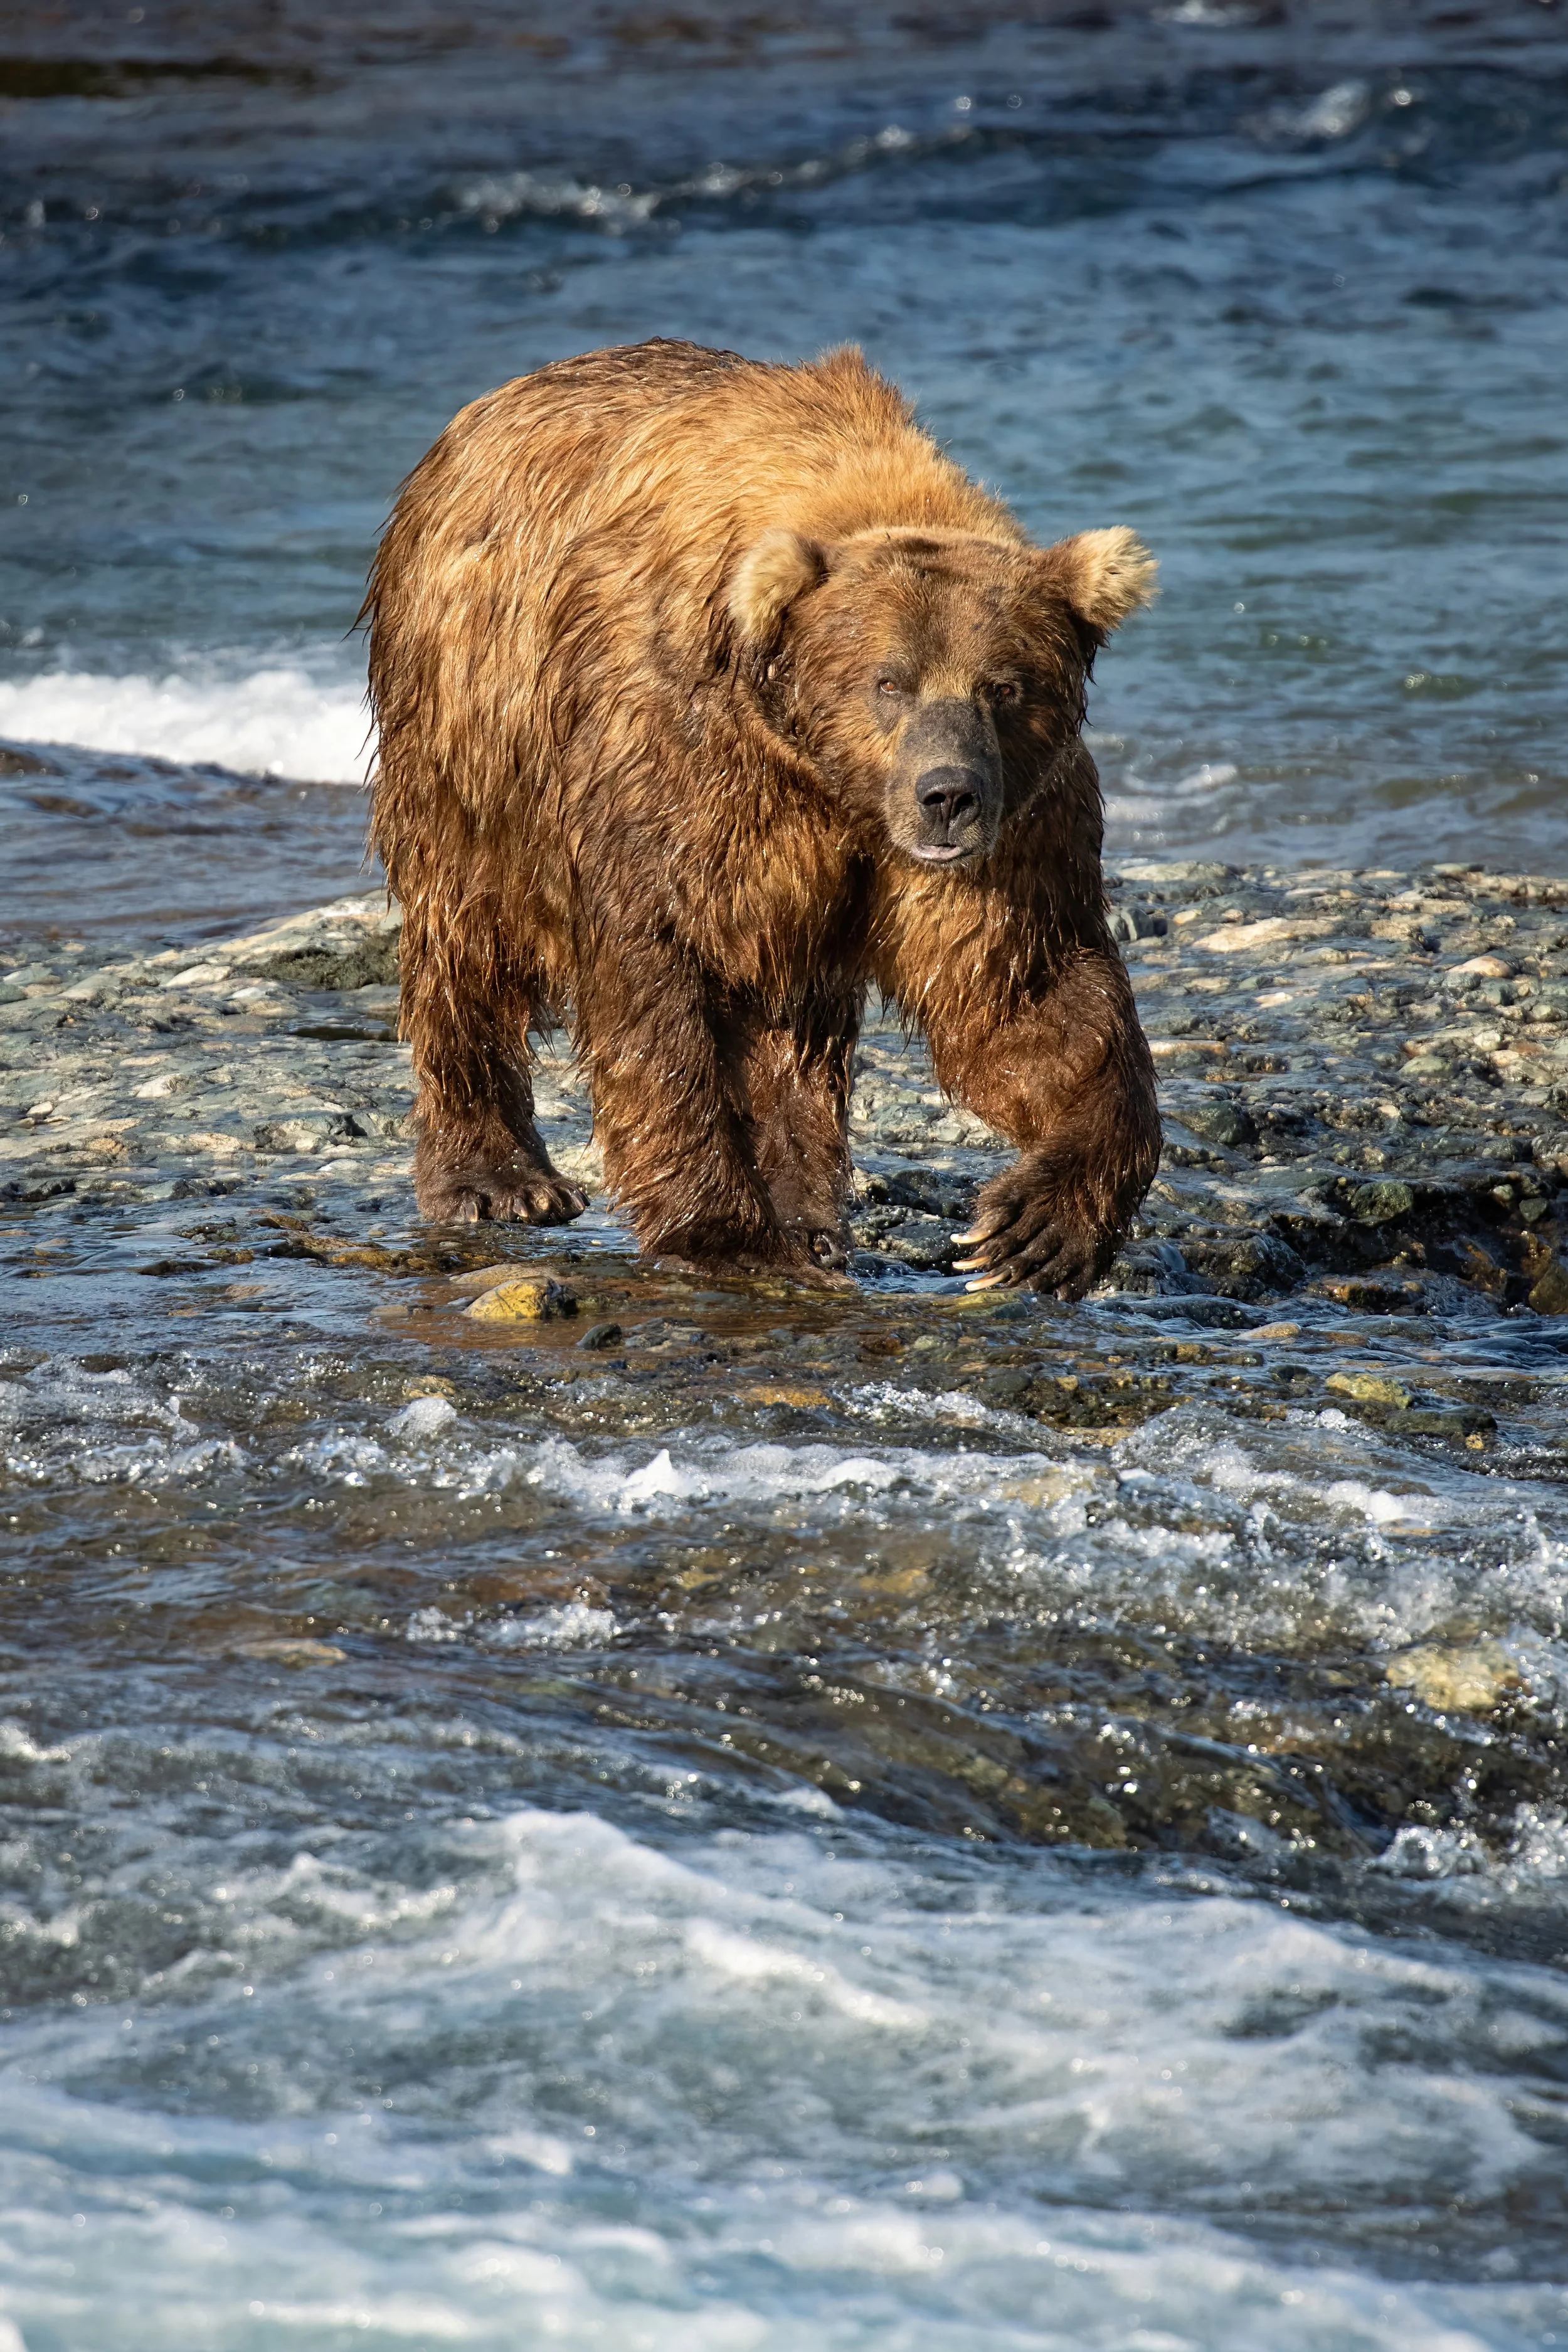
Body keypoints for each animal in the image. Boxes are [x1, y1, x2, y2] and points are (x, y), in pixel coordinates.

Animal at [365, 338, 1160, 1298]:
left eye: (1004, 686)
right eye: (887, 681)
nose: (947, 795)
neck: (825, 776)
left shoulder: (1015, 826)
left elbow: (1026, 988)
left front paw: (1035, 1227)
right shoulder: (674, 766)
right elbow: (656, 976)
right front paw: (726, 1231)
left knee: (793, 1020)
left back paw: (809, 1217)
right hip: (468, 736)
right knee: (466, 937)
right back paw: (499, 1178)